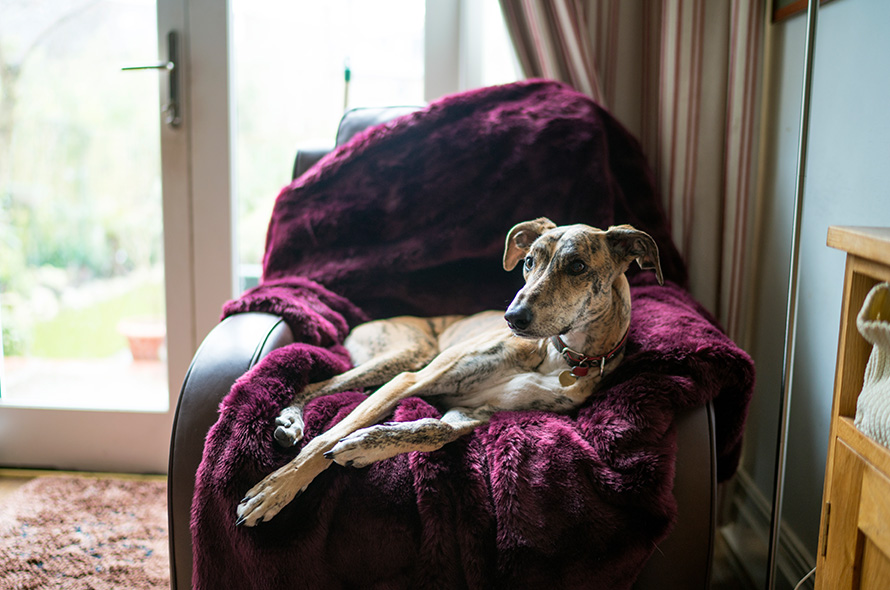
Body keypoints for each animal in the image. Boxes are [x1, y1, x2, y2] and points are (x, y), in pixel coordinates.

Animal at [236, 217, 660, 528]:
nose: (513, 318)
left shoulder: (476, 413)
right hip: (407, 355)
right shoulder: (412, 380)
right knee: (319, 382)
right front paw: (276, 489)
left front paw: (367, 443)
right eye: (529, 261)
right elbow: (327, 438)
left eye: (577, 266)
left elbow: (434, 429)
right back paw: (291, 420)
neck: (559, 355)